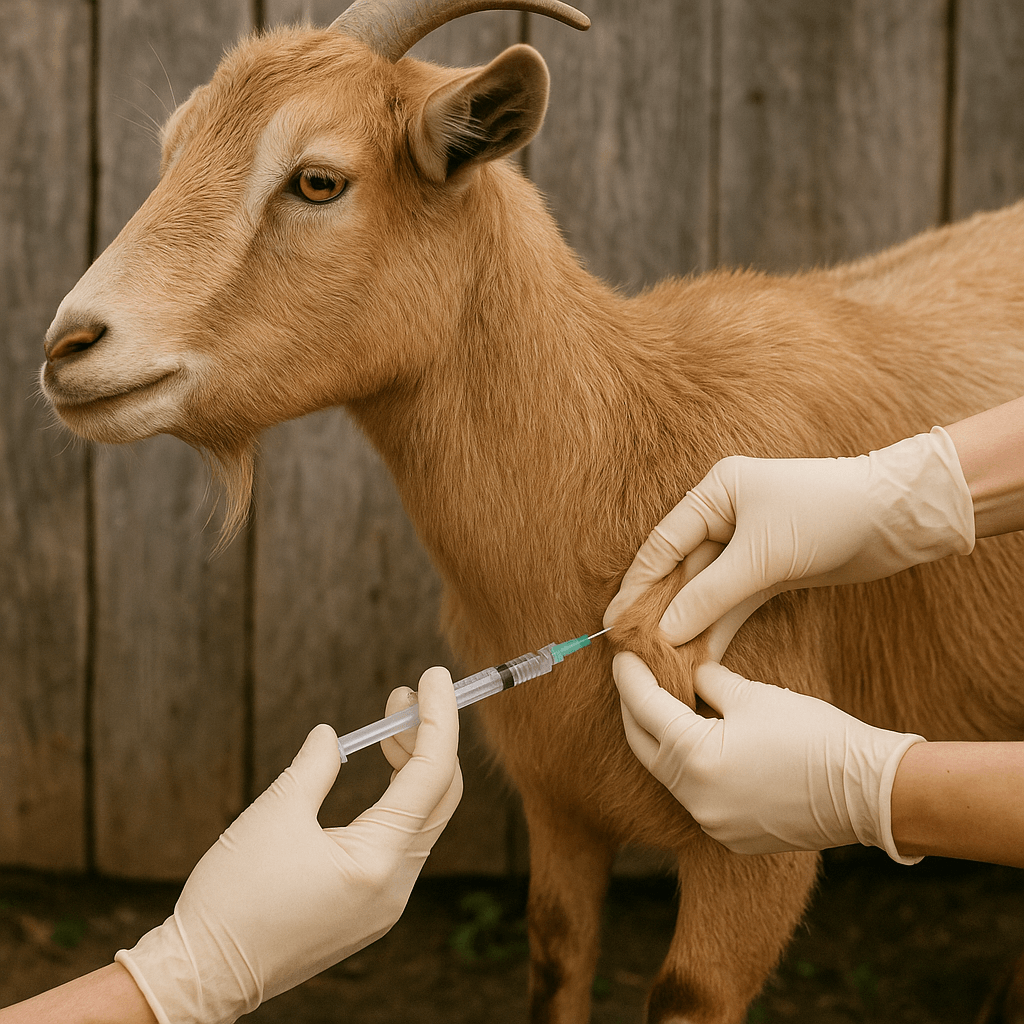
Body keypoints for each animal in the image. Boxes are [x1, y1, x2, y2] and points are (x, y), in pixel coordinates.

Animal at [40, 2, 1024, 1021]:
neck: (619, 453)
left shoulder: (755, 861)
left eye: (317, 180)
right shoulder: (560, 810)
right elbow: (555, 957)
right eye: (174, 149)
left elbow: (686, 986)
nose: (69, 344)